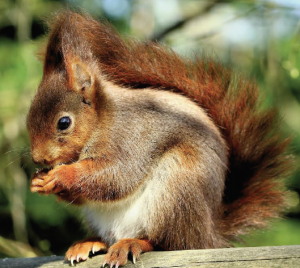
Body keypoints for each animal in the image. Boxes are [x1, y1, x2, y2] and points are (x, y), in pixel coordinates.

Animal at [26, 10, 292, 268]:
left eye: (64, 122)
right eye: (28, 118)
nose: (39, 159)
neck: (101, 122)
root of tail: (209, 234)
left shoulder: (131, 138)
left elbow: (115, 177)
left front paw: (61, 175)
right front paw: (38, 181)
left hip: (177, 189)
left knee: (169, 242)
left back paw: (132, 243)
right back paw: (89, 243)